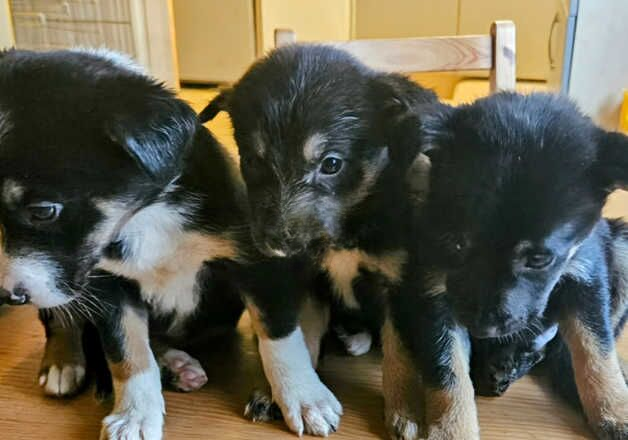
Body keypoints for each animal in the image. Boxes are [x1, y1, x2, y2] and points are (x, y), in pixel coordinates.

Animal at [0, 49, 249, 440]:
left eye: (43, 211)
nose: (9, 296)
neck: (145, 213)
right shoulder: (108, 284)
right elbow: (126, 352)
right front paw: (134, 416)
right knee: (58, 316)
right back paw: (62, 363)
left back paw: (178, 365)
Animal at [201, 44, 436, 436]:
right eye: (251, 161)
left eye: (331, 164)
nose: (274, 245)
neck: (344, 231)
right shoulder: (307, 279)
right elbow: (302, 333)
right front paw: (288, 396)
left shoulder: (398, 281)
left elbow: (400, 352)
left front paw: (409, 411)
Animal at [412, 92, 628, 436]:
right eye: (457, 244)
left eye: (539, 259)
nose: (482, 328)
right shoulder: (435, 288)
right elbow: (448, 372)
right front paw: (453, 430)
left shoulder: (586, 272)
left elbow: (596, 348)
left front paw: (616, 412)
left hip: (621, 247)